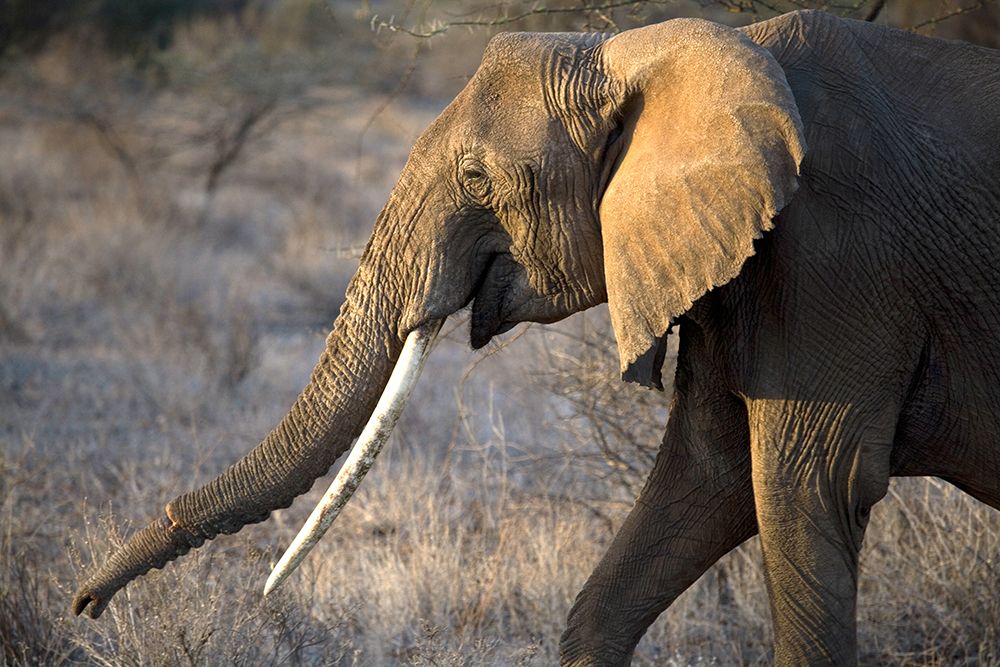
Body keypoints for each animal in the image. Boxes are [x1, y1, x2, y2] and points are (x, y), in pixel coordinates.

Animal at [72, 9, 1000, 665]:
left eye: (477, 177)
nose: (82, 604)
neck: (651, 52)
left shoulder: (837, 264)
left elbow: (805, 487)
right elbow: (709, 474)